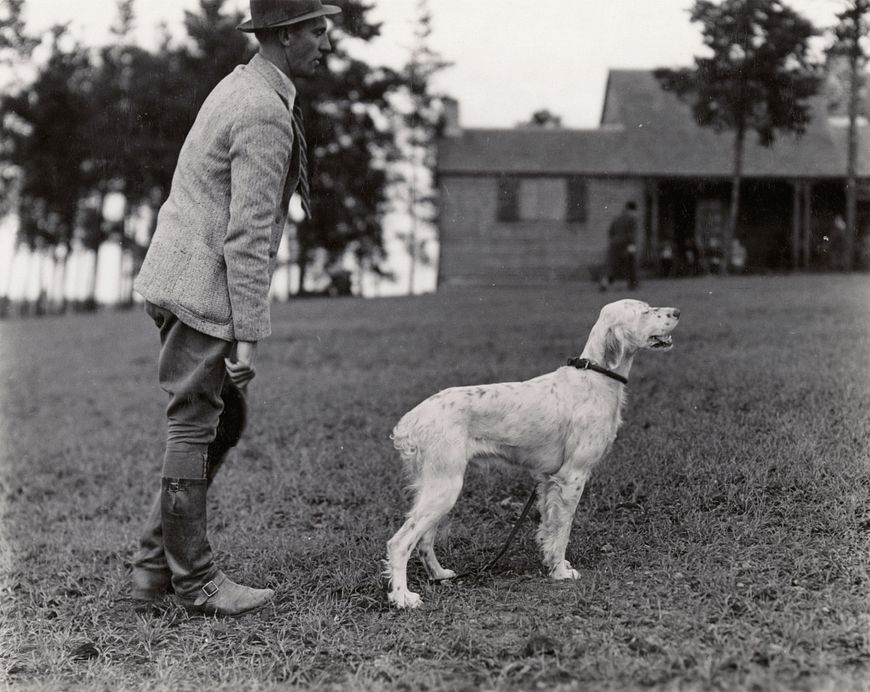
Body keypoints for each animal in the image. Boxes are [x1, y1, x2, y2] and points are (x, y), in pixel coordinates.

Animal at [386, 298, 680, 604]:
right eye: (644, 311)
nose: (677, 312)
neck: (596, 378)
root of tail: (412, 419)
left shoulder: (549, 480)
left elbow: (550, 528)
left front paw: (553, 564)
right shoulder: (573, 476)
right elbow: (563, 530)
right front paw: (562, 572)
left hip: (433, 489)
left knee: (424, 540)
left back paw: (439, 574)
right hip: (444, 488)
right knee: (400, 542)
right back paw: (403, 597)